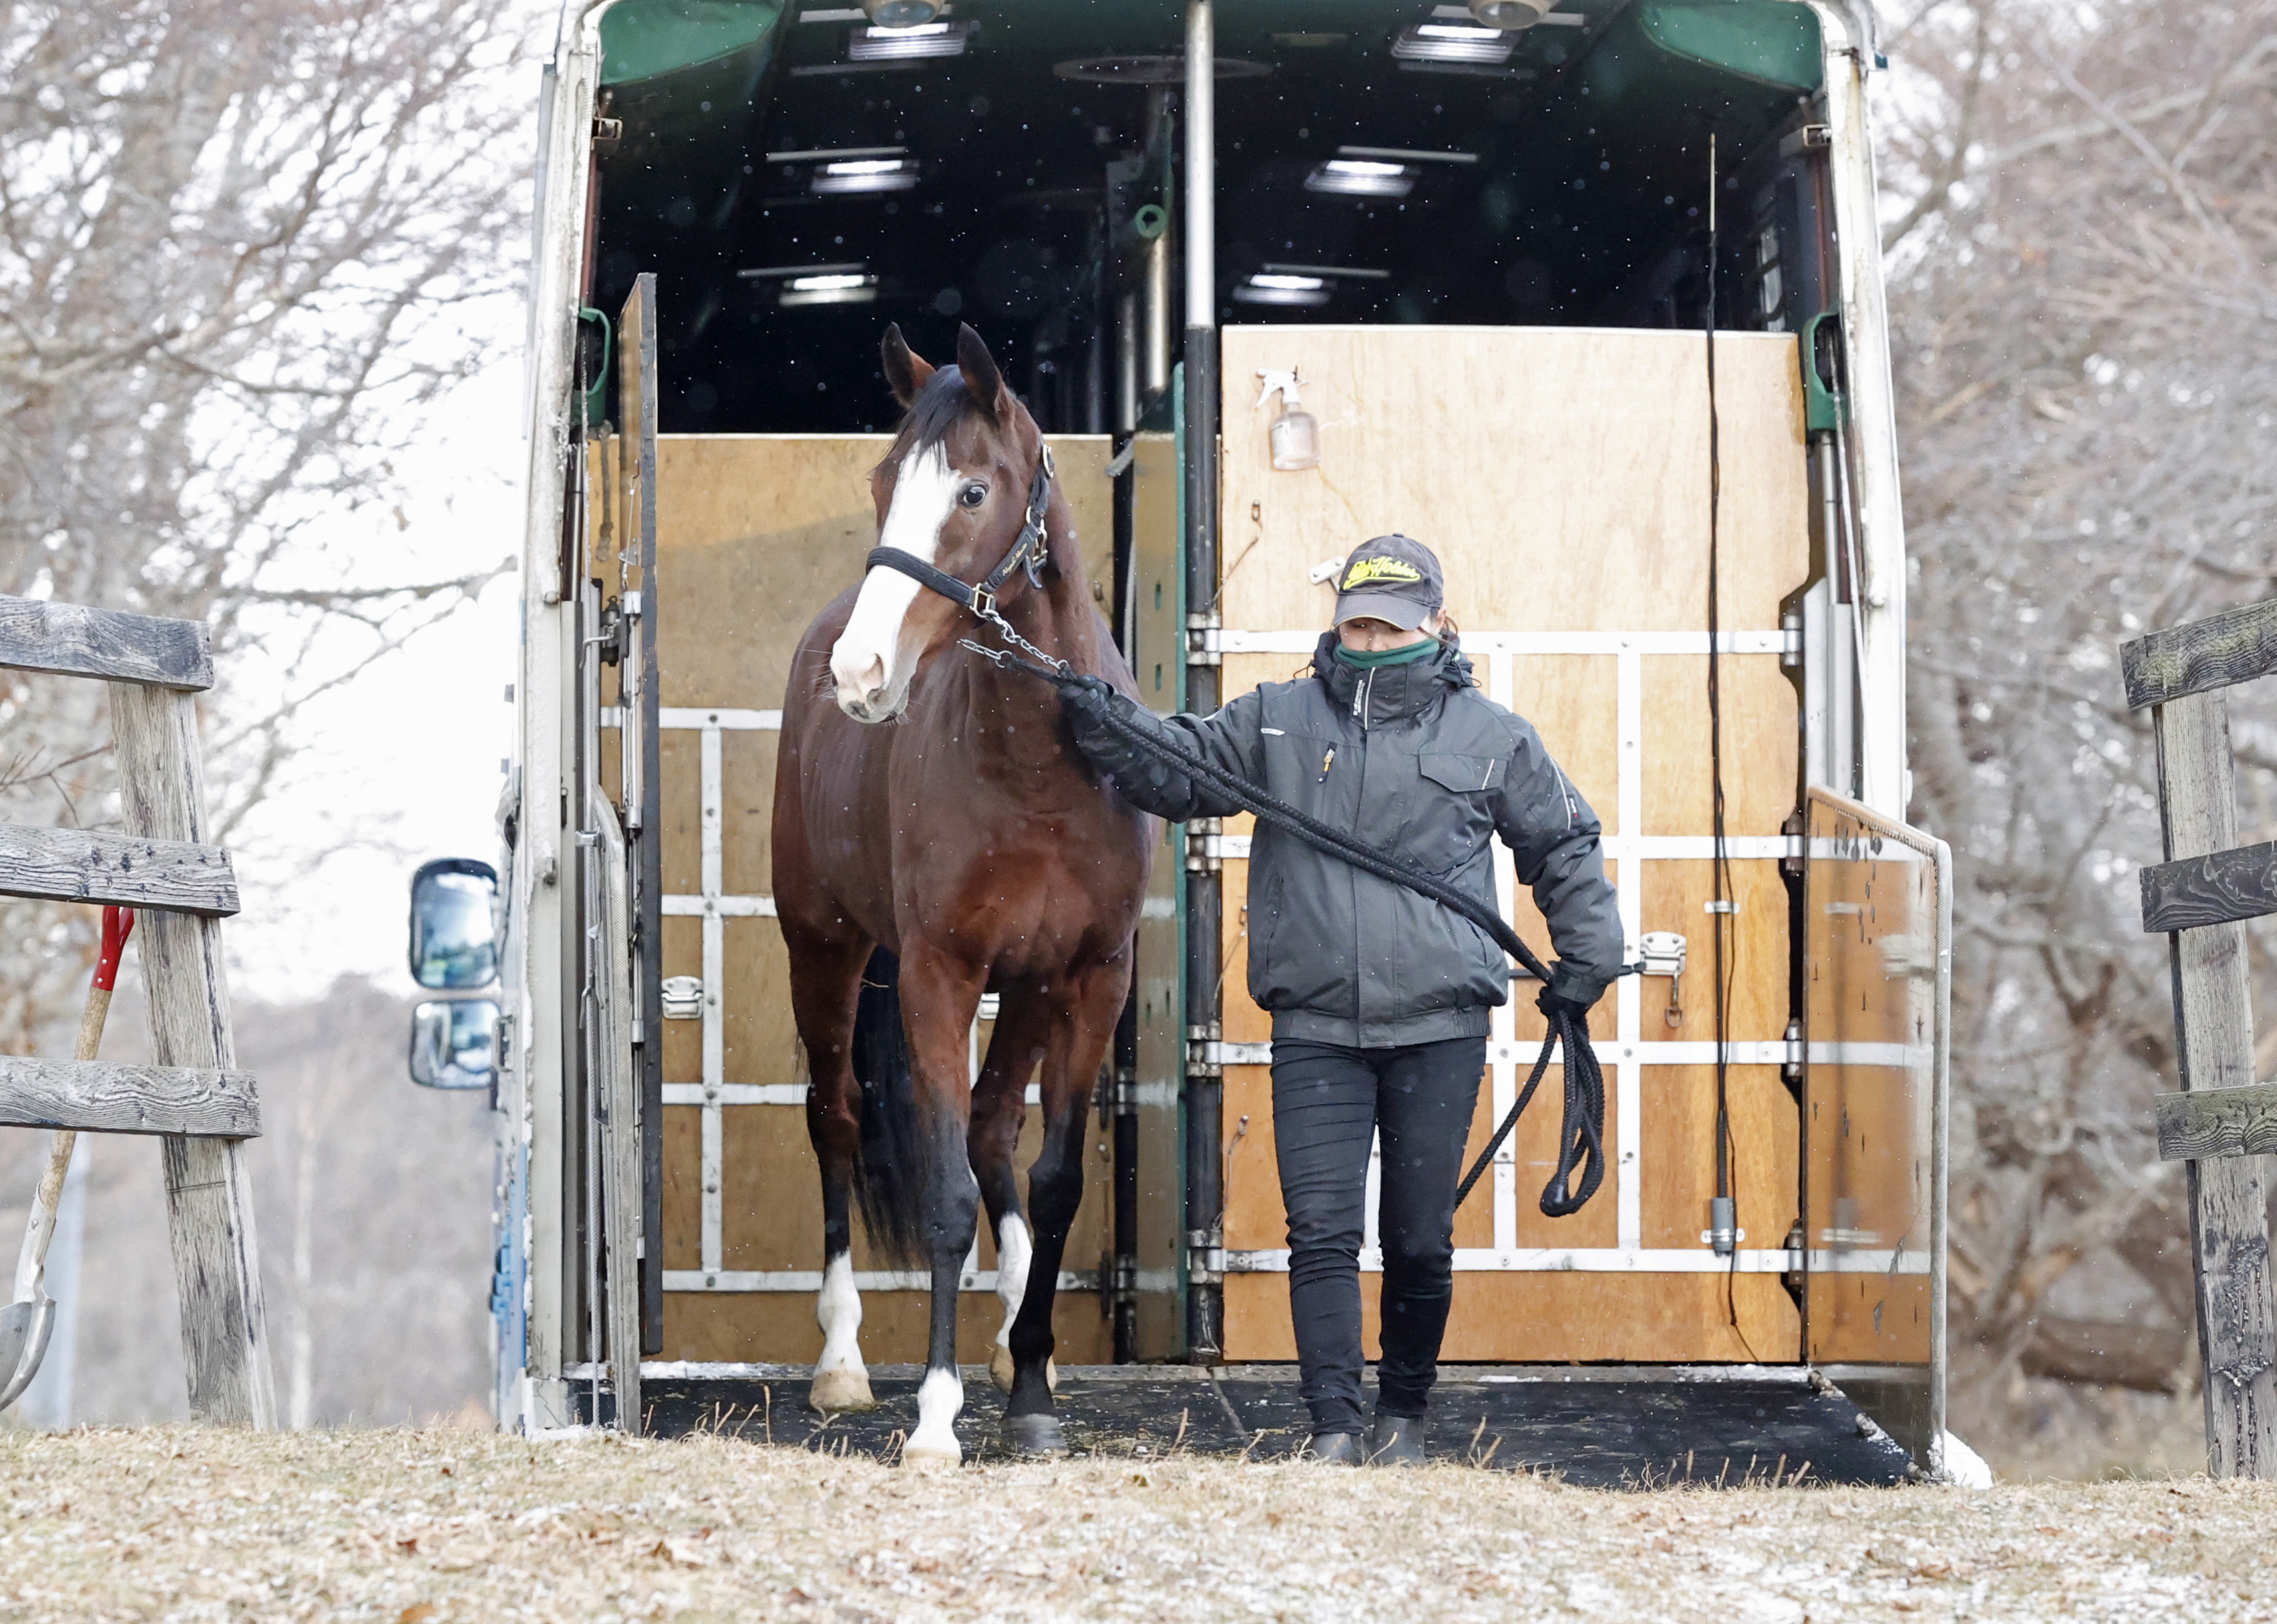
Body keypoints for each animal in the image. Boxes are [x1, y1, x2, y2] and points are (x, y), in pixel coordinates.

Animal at [771, 322, 1155, 1466]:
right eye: (881, 480)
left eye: (973, 491)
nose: (863, 672)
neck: (1037, 769)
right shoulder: (938, 974)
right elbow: (943, 1194)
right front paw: (936, 1417)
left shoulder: (1091, 977)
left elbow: (1056, 1179)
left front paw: (1029, 1383)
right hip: (824, 953)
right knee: (837, 1121)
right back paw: (842, 1361)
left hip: (1024, 990)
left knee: (991, 1130)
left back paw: (1013, 1336)